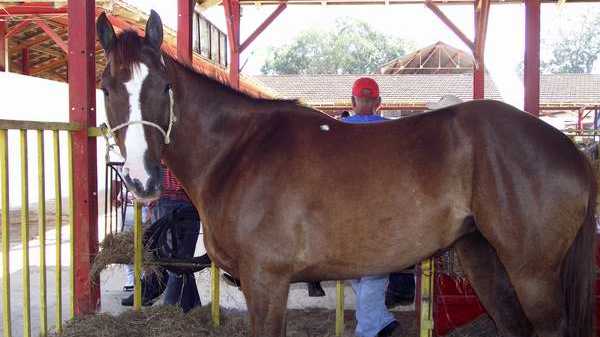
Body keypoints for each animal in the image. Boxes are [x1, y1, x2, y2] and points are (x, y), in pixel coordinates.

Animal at [98, 11, 596, 336]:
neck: (238, 151)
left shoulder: (266, 281)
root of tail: (570, 150)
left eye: (163, 86)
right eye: (106, 87)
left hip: (533, 273)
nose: (142, 180)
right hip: (484, 259)